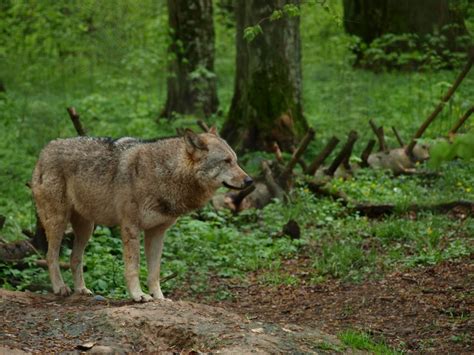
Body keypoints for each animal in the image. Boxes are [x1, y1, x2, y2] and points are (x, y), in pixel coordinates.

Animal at [31, 129, 252, 304]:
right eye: (226, 161)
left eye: (236, 160)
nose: (250, 180)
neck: (165, 174)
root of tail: (45, 148)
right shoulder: (130, 228)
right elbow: (134, 267)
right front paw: (138, 295)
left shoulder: (157, 233)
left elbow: (154, 272)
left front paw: (160, 298)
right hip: (59, 222)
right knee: (51, 256)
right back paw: (60, 288)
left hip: (86, 229)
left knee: (74, 258)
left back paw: (81, 290)